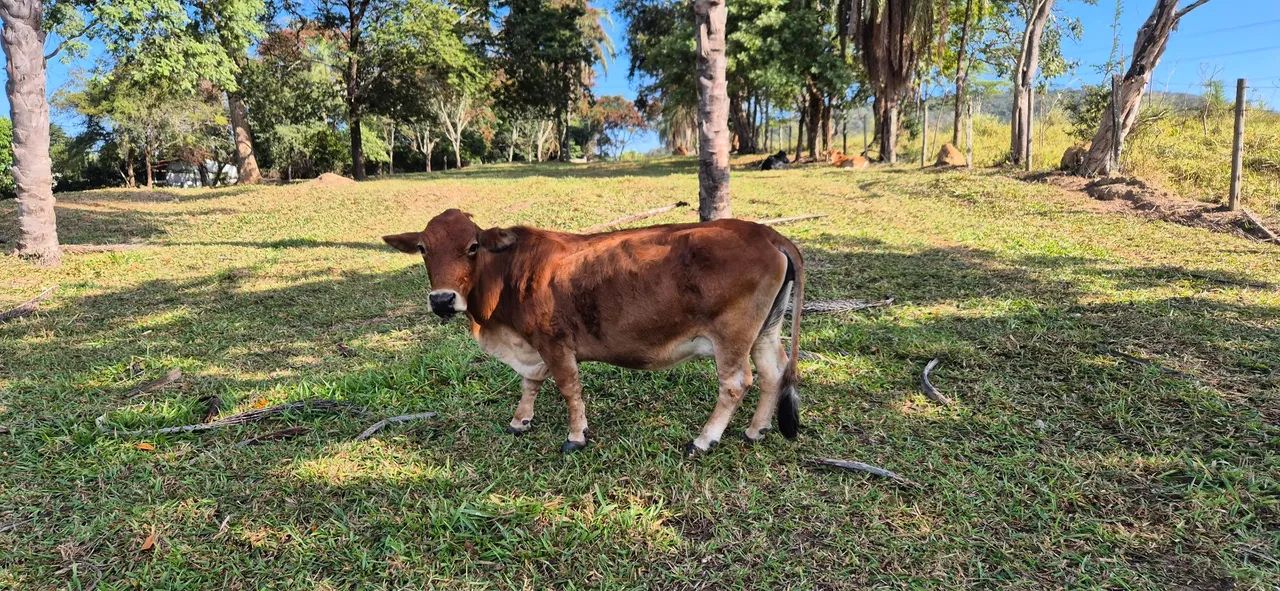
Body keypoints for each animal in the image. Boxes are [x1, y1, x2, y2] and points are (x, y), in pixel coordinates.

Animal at [383, 209, 805, 456]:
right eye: (423, 248)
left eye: (472, 246)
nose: (441, 300)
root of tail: (768, 235)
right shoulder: (532, 346)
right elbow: (530, 382)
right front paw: (521, 420)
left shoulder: (554, 343)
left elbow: (569, 389)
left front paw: (575, 435)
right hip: (765, 330)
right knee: (773, 372)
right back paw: (755, 430)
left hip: (732, 337)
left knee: (736, 383)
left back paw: (704, 439)